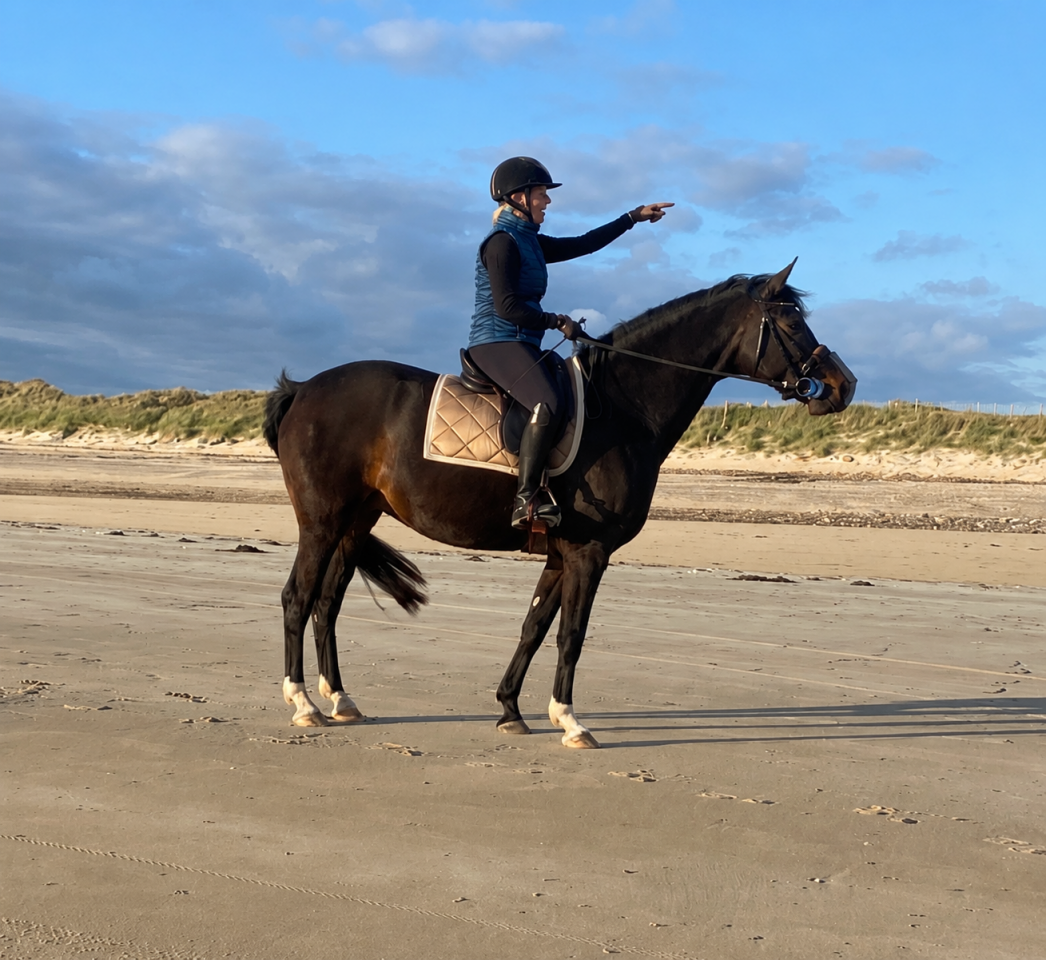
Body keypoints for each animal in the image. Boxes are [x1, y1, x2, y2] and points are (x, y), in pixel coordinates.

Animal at [263, 260, 856, 748]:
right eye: (793, 323)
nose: (842, 385)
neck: (622, 410)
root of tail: (303, 389)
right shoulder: (589, 552)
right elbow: (572, 634)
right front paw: (570, 720)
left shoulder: (558, 553)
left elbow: (534, 626)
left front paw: (510, 710)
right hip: (322, 522)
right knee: (297, 598)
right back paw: (303, 703)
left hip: (355, 522)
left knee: (327, 603)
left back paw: (341, 699)